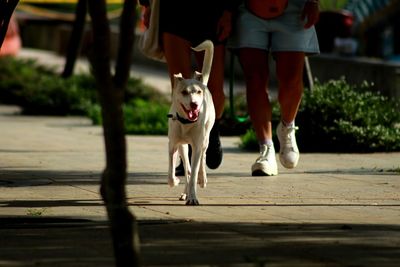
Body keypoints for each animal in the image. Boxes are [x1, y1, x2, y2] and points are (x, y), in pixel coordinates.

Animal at [166, 40, 216, 207]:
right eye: (184, 92)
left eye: (198, 92)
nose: (194, 104)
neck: (186, 122)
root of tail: (204, 84)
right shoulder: (173, 145)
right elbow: (171, 172)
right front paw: (175, 181)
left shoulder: (197, 145)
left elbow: (194, 172)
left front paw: (193, 197)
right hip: (183, 146)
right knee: (186, 167)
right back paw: (184, 192)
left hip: (205, 139)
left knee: (202, 158)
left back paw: (202, 179)